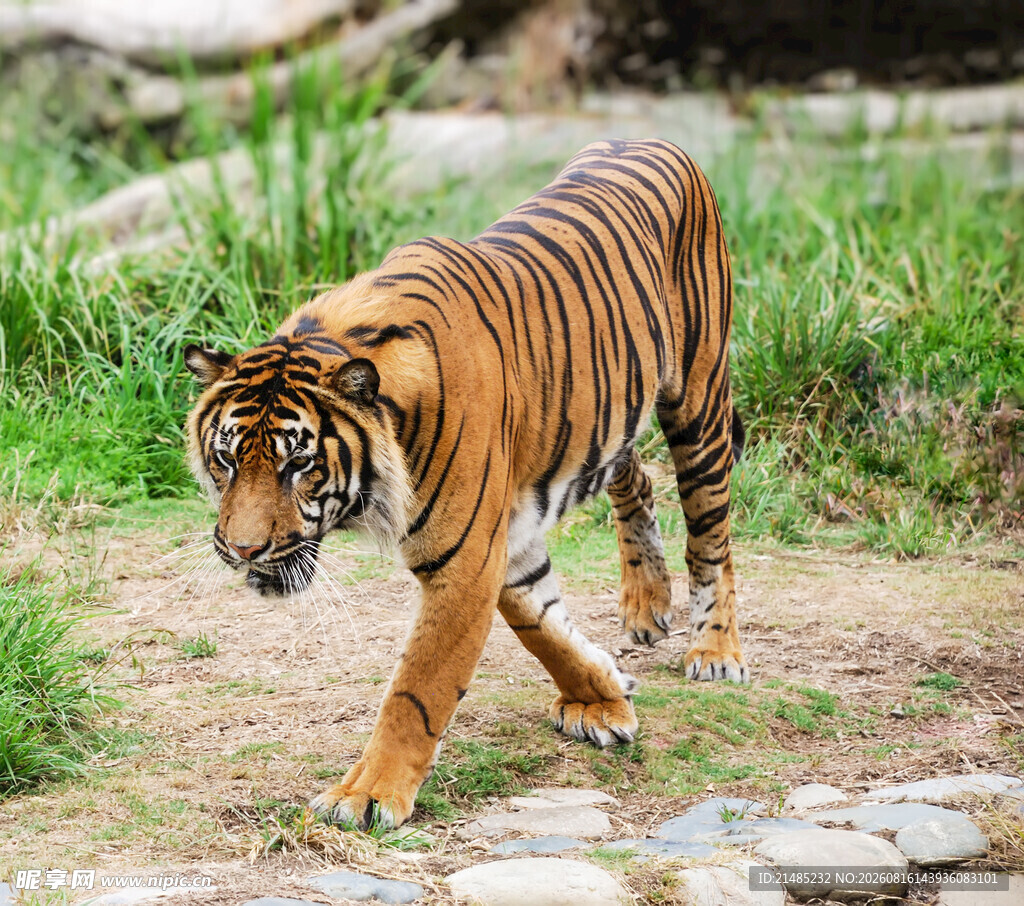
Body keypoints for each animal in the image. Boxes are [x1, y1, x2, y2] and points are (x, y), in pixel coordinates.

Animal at [184, 138, 748, 830]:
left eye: (299, 465)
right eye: (227, 459)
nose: (243, 550)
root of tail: (656, 141)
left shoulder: (466, 559)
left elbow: (417, 690)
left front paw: (365, 797)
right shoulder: (505, 538)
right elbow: (540, 622)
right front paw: (604, 697)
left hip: (698, 403)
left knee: (711, 538)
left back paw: (715, 652)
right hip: (608, 418)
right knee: (634, 476)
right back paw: (646, 608)